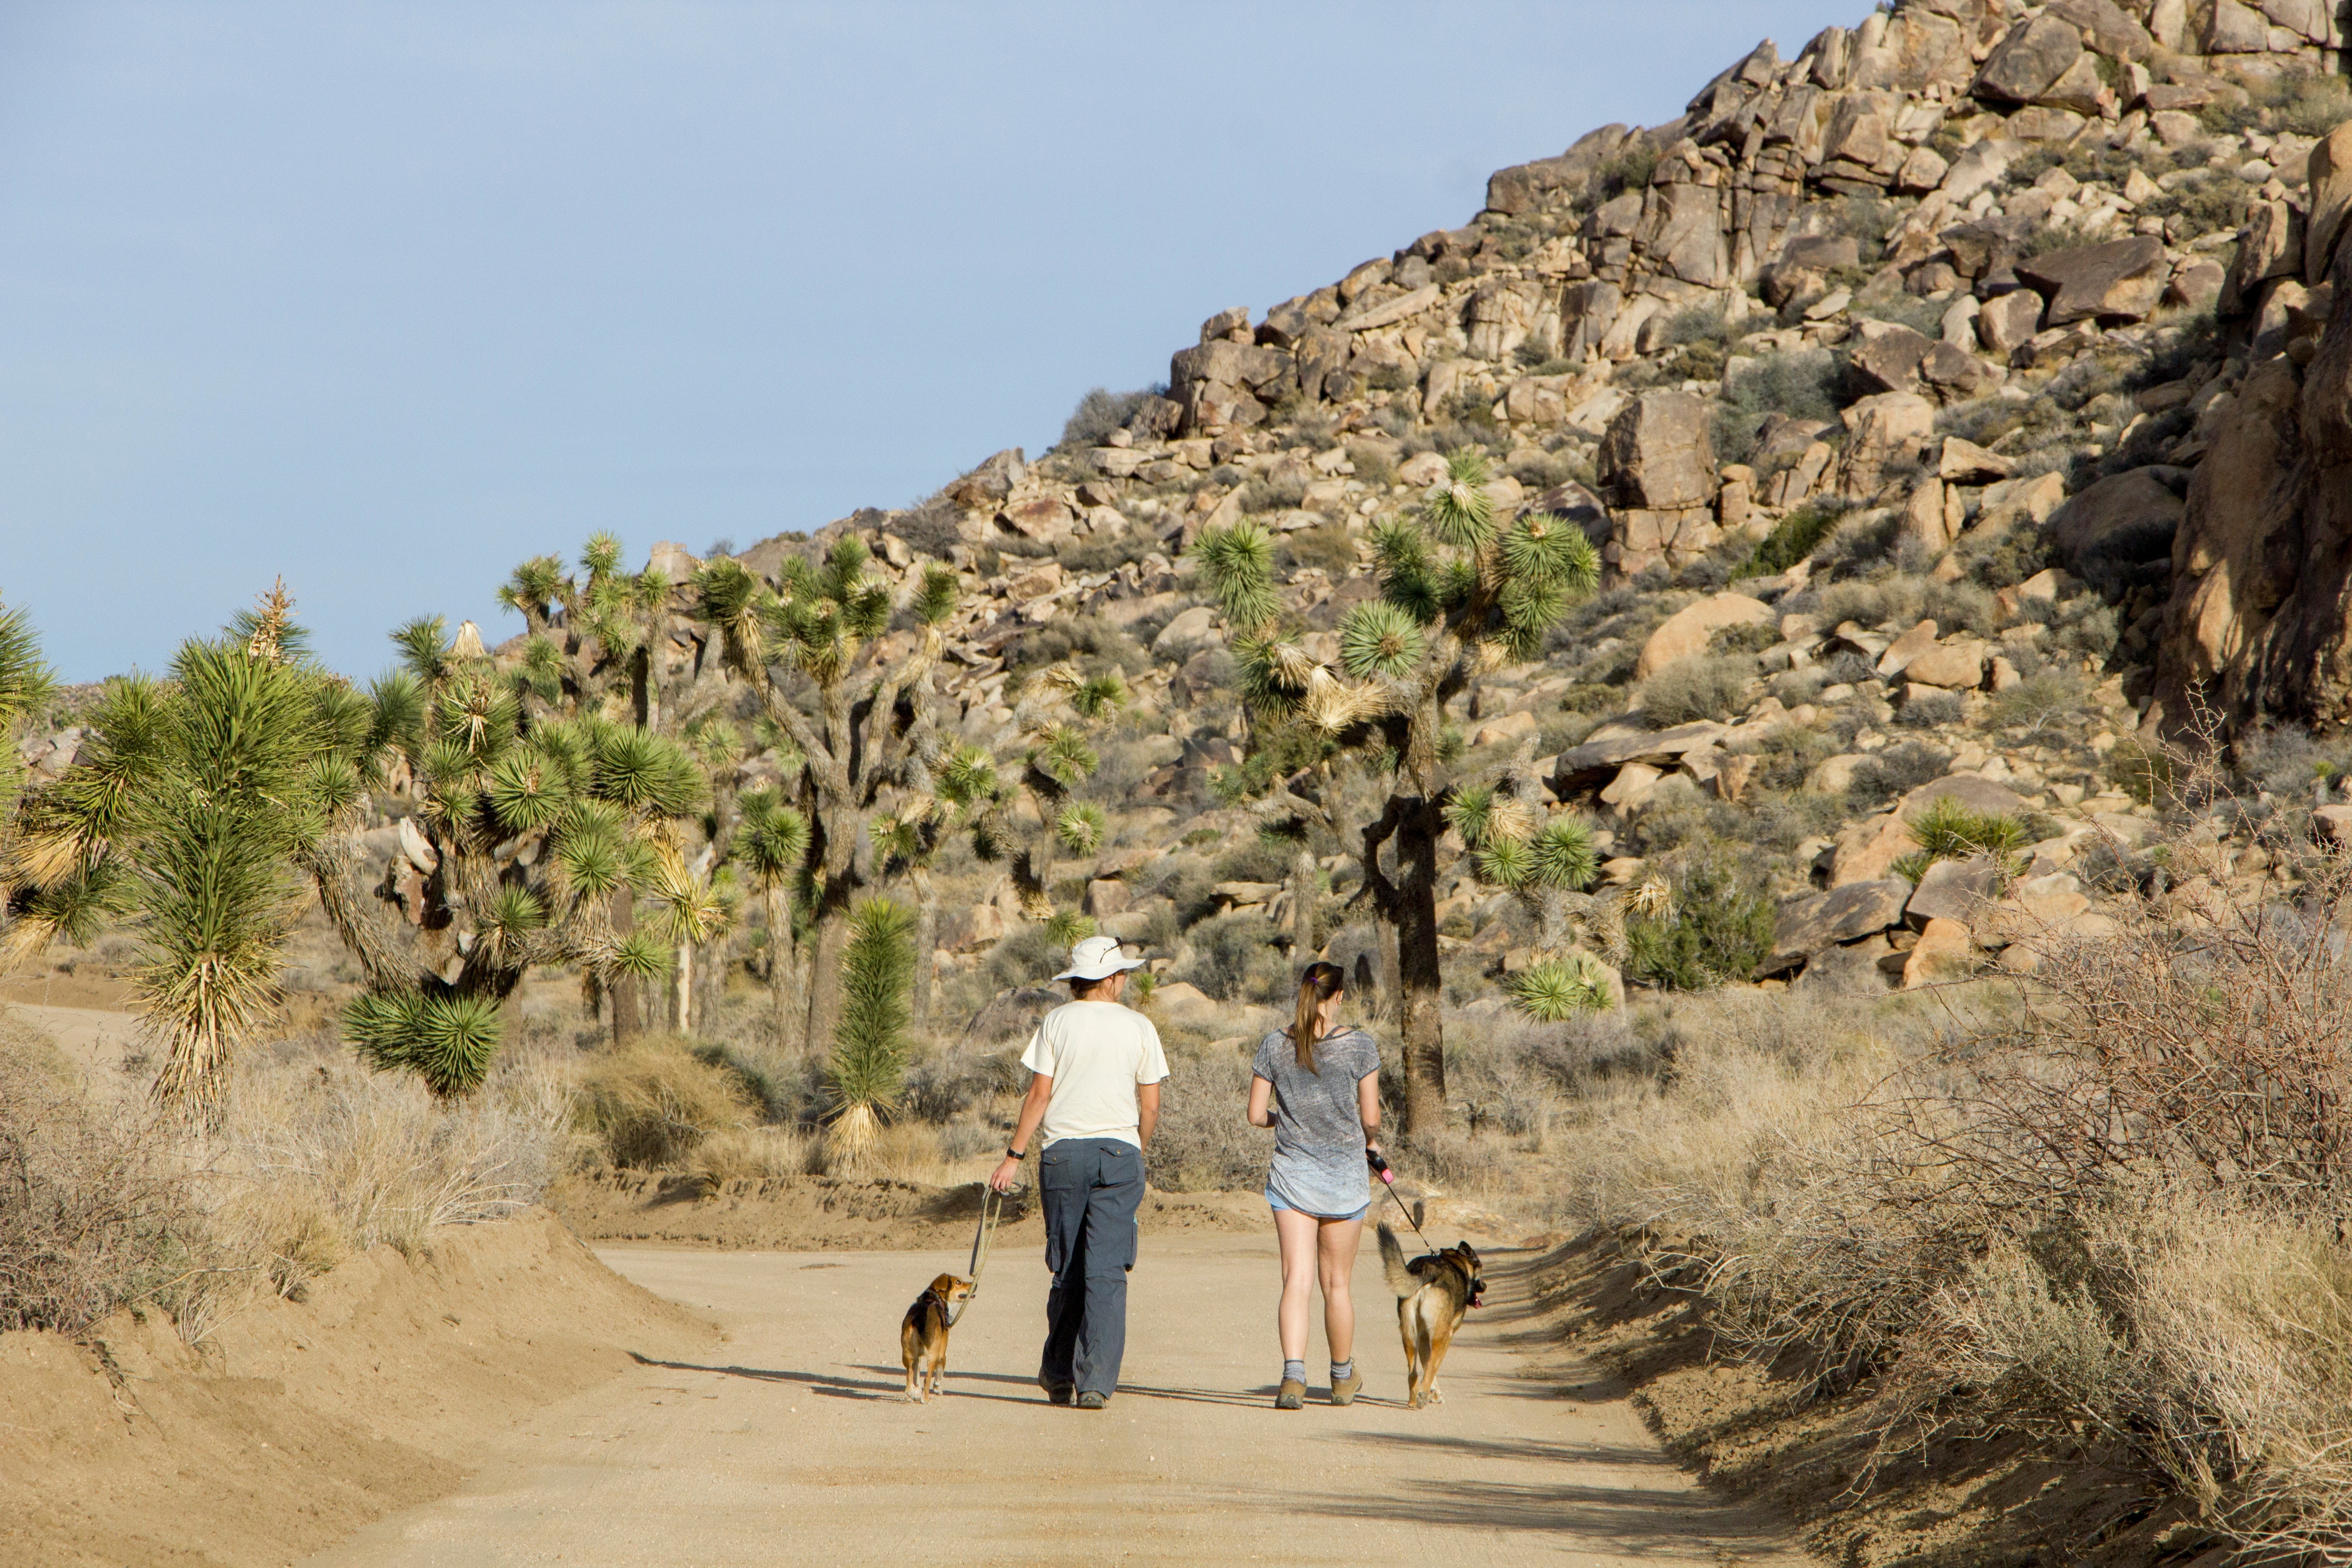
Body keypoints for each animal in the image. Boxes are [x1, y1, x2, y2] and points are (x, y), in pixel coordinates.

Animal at [898, 1269, 974, 1401]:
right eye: (958, 1282)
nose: (976, 1285)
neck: (934, 1299)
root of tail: (921, 1317)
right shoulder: (942, 1353)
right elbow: (940, 1373)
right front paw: (938, 1389)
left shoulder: (917, 1356)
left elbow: (916, 1375)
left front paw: (916, 1393)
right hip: (934, 1354)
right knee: (927, 1378)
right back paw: (925, 1399)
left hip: (908, 1353)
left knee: (910, 1375)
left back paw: (909, 1394)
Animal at [1373, 1222, 1486, 1410]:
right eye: (1481, 1268)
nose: (1485, 1286)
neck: (1457, 1263)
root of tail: (1426, 1271)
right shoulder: (1445, 1337)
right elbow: (1433, 1367)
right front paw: (1433, 1394)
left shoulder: (1424, 1338)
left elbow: (1426, 1365)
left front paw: (1435, 1393)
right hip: (1441, 1337)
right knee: (1431, 1368)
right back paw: (1422, 1396)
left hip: (1409, 1335)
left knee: (1413, 1374)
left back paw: (1413, 1400)